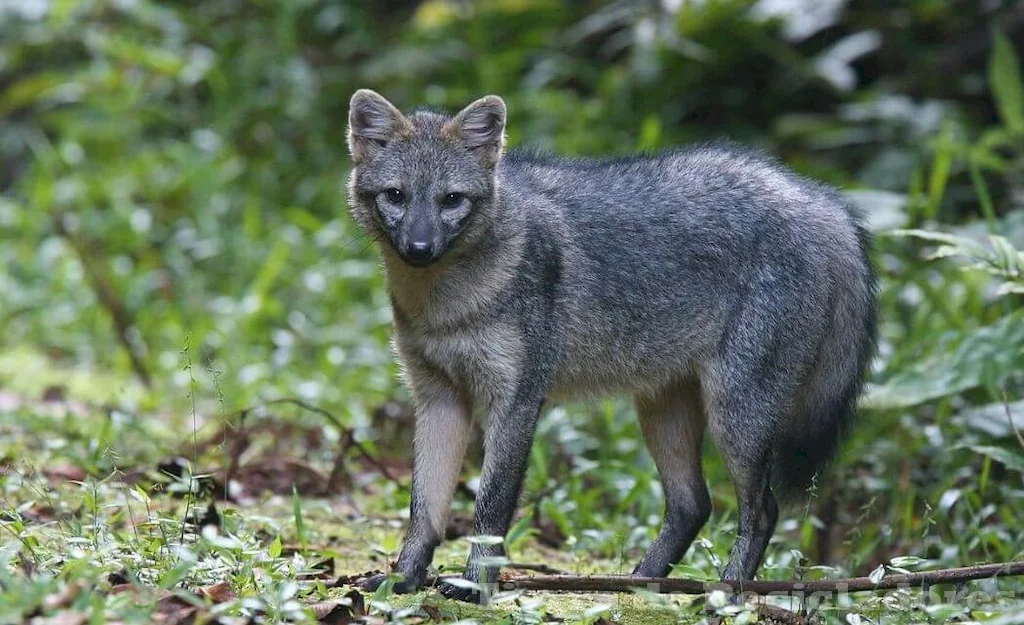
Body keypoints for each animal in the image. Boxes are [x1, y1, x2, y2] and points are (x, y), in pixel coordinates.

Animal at [348, 88, 876, 598]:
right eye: (396, 195)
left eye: (451, 200)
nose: (420, 248)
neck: (446, 307)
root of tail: (817, 196)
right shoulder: (439, 398)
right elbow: (424, 510)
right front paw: (404, 579)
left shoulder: (516, 401)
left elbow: (491, 508)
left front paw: (475, 586)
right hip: (665, 413)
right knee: (693, 505)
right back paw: (642, 581)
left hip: (735, 418)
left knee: (762, 510)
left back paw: (727, 591)